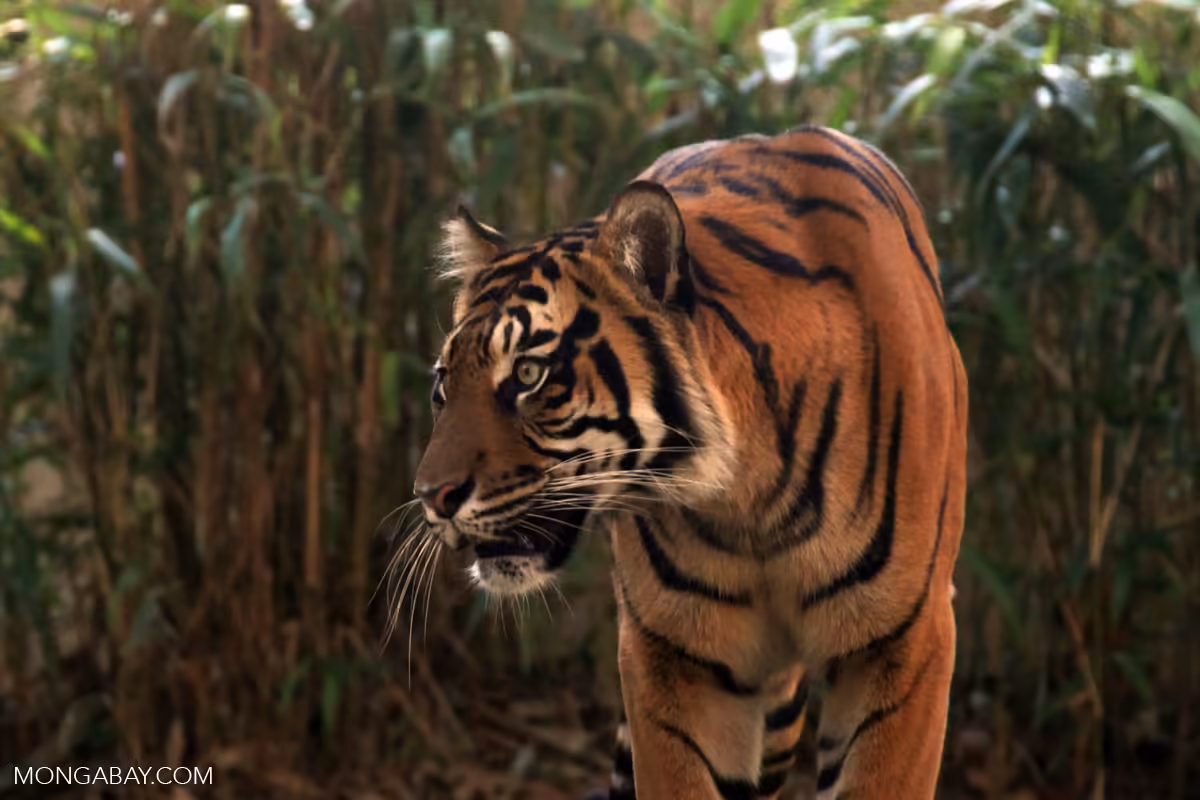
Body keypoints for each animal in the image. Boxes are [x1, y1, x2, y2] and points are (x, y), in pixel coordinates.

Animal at [410, 125, 968, 799]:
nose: (430, 495)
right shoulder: (677, 659)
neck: (747, 497)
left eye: (527, 374)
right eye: (443, 384)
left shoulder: (903, 644)